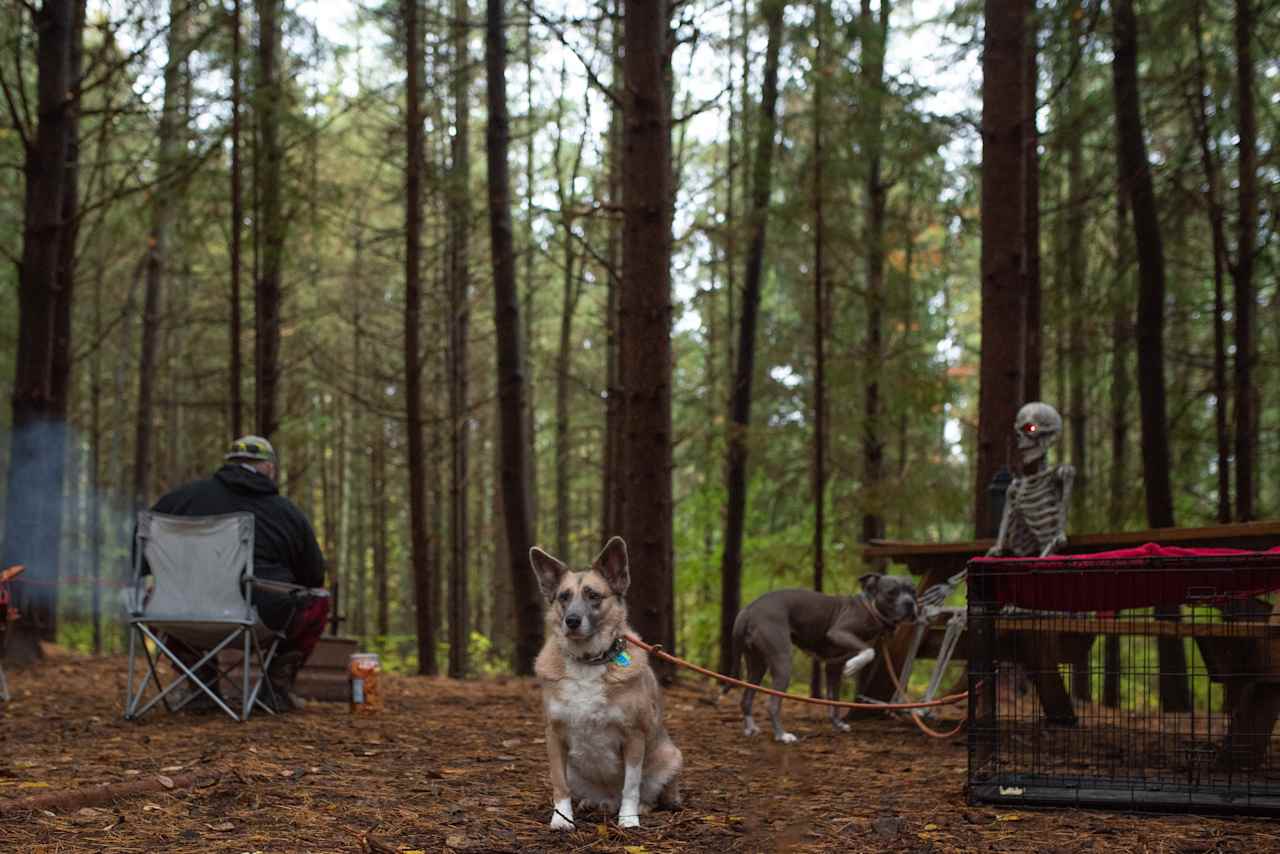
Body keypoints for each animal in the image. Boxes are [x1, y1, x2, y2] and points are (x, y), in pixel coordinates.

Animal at [527, 537, 680, 829]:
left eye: (594, 595)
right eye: (563, 597)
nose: (572, 621)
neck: (588, 662)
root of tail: (608, 799)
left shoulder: (634, 735)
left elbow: (631, 785)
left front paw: (629, 819)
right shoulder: (554, 734)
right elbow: (559, 784)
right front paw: (562, 819)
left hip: (671, 756)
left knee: (649, 794)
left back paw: (640, 807)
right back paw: (591, 803)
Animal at [732, 578, 921, 742]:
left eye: (913, 591)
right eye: (892, 592)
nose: (910, 604)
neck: (870, 607)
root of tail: (748, 610)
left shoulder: (833, 666)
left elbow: (833, 700)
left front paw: (837, 725)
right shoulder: (838, 632)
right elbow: (869, 651)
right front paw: (853, 666)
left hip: (757, 665)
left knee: (746, 699)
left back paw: (750, 729)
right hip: (782, 660)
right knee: (772, 704)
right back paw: (782, 735)